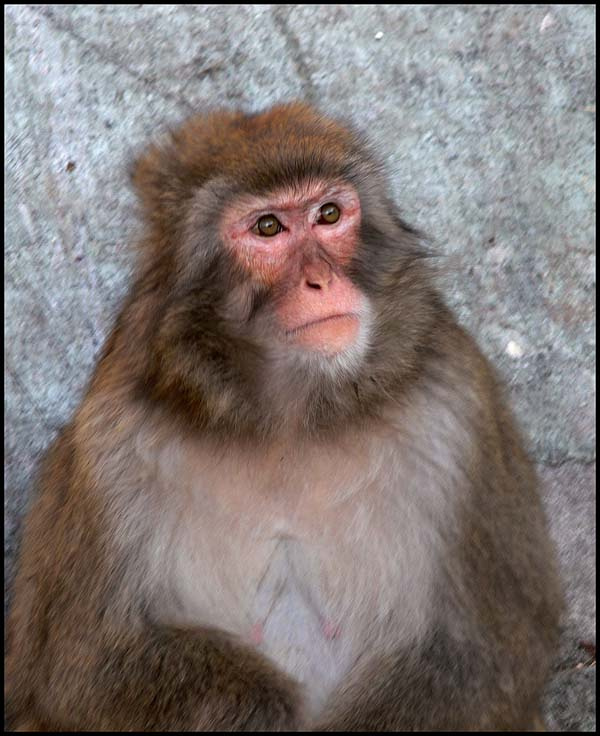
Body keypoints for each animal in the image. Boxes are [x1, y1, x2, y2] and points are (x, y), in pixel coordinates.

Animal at [5, 102, 563, 732]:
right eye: (268, 227)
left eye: (329, 215)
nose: (321, 280)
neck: (289, 418)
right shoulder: (110, 443)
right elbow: (80, 667)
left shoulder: (459, 407)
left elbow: (490, 651)